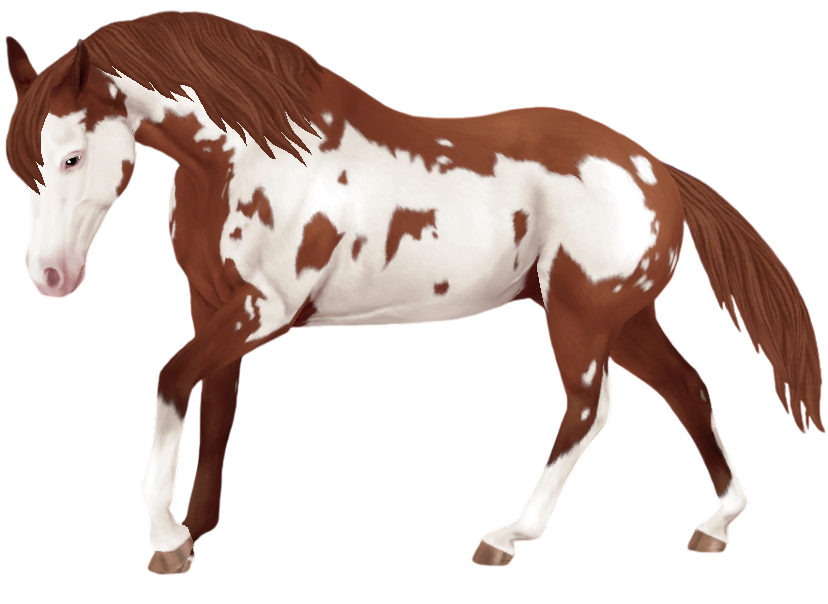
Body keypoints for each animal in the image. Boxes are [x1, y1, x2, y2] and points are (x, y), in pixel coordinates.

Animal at [7, 11, 822, 574]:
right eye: (22, 168)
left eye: (72, 156)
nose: (50, 279)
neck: (244, 158)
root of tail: (656, 170)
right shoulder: (212, 310)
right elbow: (217, 405)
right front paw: (199, 529)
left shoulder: (263, 312)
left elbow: (173, 379)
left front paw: (167, 537)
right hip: (626, 319)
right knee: (689, 389)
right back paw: (716, 524)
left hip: (581, 319)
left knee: (591, 411)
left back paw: (506, 537)